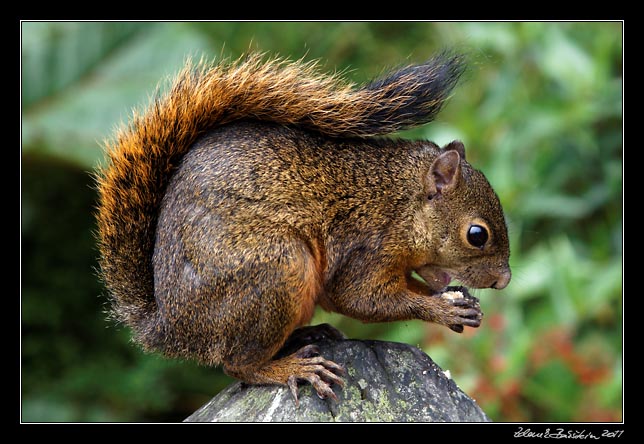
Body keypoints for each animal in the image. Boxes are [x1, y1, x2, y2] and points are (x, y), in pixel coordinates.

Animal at [93, 52, 510, 402]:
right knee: (237, 365)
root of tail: (170, 326)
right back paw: (292, 368)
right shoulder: (368, 247)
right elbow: (360, 298)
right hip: (278, 270)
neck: (401, 202)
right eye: (477, 235)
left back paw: (308, 334)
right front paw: (443, 311)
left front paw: (457, 300)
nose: (504, 279)